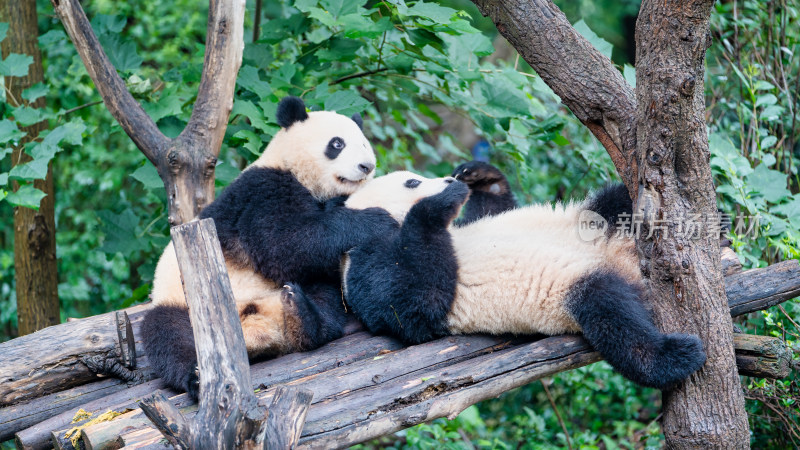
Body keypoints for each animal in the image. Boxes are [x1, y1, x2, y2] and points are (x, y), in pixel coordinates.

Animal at [143, 96, 396, 400]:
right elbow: (285, 244)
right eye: (337, 144)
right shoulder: (261, 192)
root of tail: (258, 330)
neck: (296, 171)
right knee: (168, 335)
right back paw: (197, 377)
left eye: (365, 144)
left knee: (323, 295)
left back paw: (303, 320)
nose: (366, 166)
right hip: (184, 302)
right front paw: (377, 220)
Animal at [344, 170, 708, 390]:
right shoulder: (366, 261)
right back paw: (677, 355)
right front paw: (440, 202)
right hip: (571, 287)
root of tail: (623, 258)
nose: (448, 178)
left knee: (616, 200)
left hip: (592, 220)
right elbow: (415, 300)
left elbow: (493, 208)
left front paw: (480, 178)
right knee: (611, 315)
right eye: (412, 183)